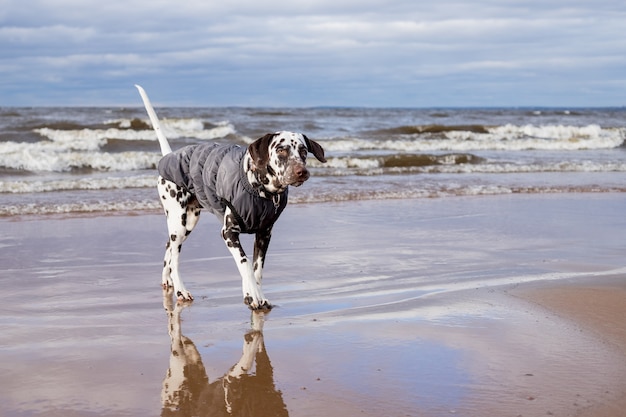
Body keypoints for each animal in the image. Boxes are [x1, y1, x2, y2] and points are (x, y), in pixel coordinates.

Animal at [136, 86, 326, 308]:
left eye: (303, 151)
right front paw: (253, 295)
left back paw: (167, 281)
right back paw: (181, 289)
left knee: (168, 249)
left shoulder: (264, 235)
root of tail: (168, 156)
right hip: (179, 221)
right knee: (174, 256)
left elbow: (256, 271)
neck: (261, 191)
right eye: (281, 149)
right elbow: (245, 263)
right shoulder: (229, 233)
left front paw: (254, 295)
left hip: (187, 223)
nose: (301, 172)